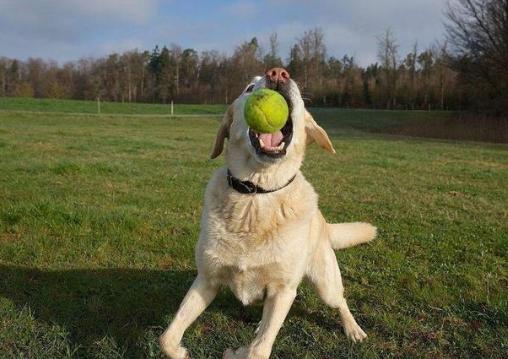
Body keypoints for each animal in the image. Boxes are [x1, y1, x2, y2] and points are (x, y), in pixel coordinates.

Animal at [161, 67, 376, 359]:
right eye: (249, 88)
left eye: (297, 89)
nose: (278, 73)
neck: (255, 195)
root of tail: (324, 222)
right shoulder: (206, 280)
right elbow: (167, 337)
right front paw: (181, 352)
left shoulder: (283, 291)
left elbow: (259, 350)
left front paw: (242, 351)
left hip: (325, 282)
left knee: (340, 301)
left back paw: (353, 329)